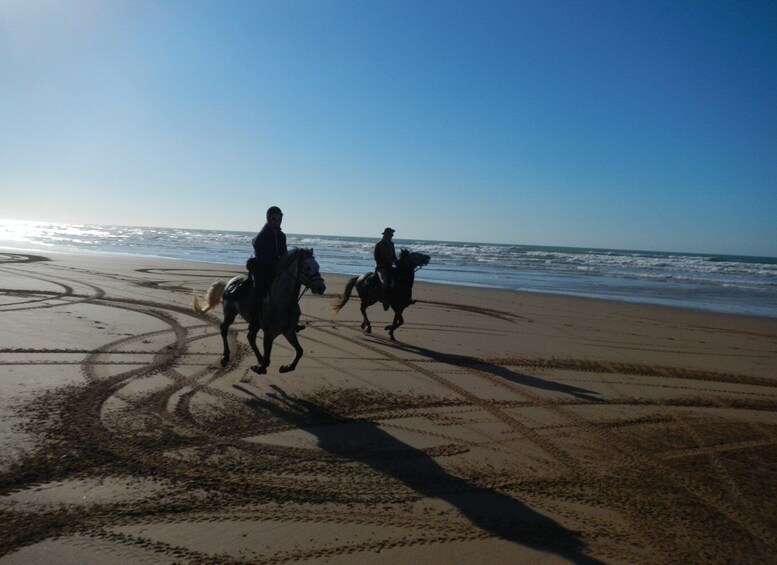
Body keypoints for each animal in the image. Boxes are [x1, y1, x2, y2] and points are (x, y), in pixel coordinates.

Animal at [197, 248, 328, 372]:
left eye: (318, 266)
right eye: (307, 267)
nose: (321, 287)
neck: (282, 302)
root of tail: (228, 283)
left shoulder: (288, 331)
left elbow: (300, 351)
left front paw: (287, 367)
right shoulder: (269, 333)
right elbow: (267, 360)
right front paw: (260, 368)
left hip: (254, 323)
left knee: (250, 337)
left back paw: (258, 358)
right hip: (230, 313)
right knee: (224, 328)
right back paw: (226, 357)